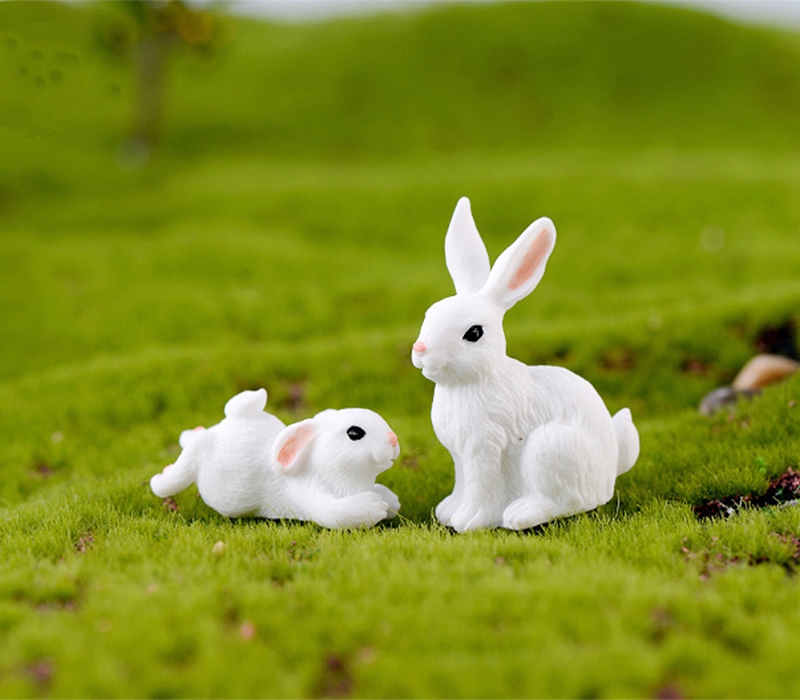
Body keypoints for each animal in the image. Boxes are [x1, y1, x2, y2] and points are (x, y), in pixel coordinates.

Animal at [150, 386, 400, 528]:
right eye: (354, 433)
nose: (394, 439)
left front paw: (391, 501)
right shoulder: (310, 496)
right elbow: (335, 512)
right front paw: (374, 506)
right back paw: (162, 479)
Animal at [412, 200, 636, 532]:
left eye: (474, 333)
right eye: (430, 314)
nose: (420, 350)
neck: (475, 382)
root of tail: (609, 475)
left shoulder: (484, 449)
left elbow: (480, 487)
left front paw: (470, 520)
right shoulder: (459, 457)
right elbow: (462, 484)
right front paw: (447, 511)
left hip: (550, 448)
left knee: (563, 502)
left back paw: (520, 514)